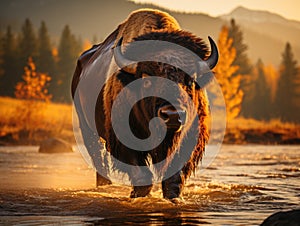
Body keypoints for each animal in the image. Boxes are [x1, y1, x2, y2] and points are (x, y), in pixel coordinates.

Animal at [72, 8, 218, 200]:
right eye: (146, 80)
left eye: (190, 80)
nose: (172, 115)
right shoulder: (125, 141)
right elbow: (142, 176)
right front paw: (136, 195)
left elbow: (172, 180)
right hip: (87, 129)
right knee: (99, 161)